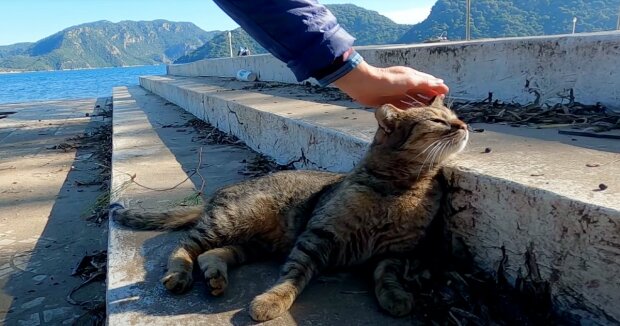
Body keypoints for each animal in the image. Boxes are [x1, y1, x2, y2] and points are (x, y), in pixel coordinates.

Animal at [112, 97, 470, 320]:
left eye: (456, 117)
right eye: (439, 120)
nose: (464, 125)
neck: (400, 190)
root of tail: (216, 194)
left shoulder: (395, 253)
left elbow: (387, 276)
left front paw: (395, 297)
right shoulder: (317, 236)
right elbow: (294, 275)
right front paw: (273, 300)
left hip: (255, 242)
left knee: (211, 253)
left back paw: (215, 276)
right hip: (233, 219)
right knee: (186, 245)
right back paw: (180, 273)